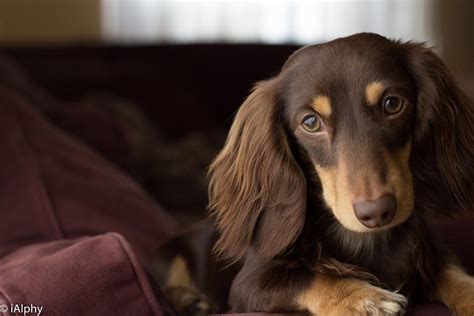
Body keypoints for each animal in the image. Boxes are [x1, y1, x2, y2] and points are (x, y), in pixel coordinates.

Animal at [208, 33, 474, 314]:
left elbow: (457, 277)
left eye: (392, 104)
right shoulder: (248, 284)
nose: (376, 212)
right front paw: (364, 299)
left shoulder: (433, 254)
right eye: (311, 122)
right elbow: (312, 277)